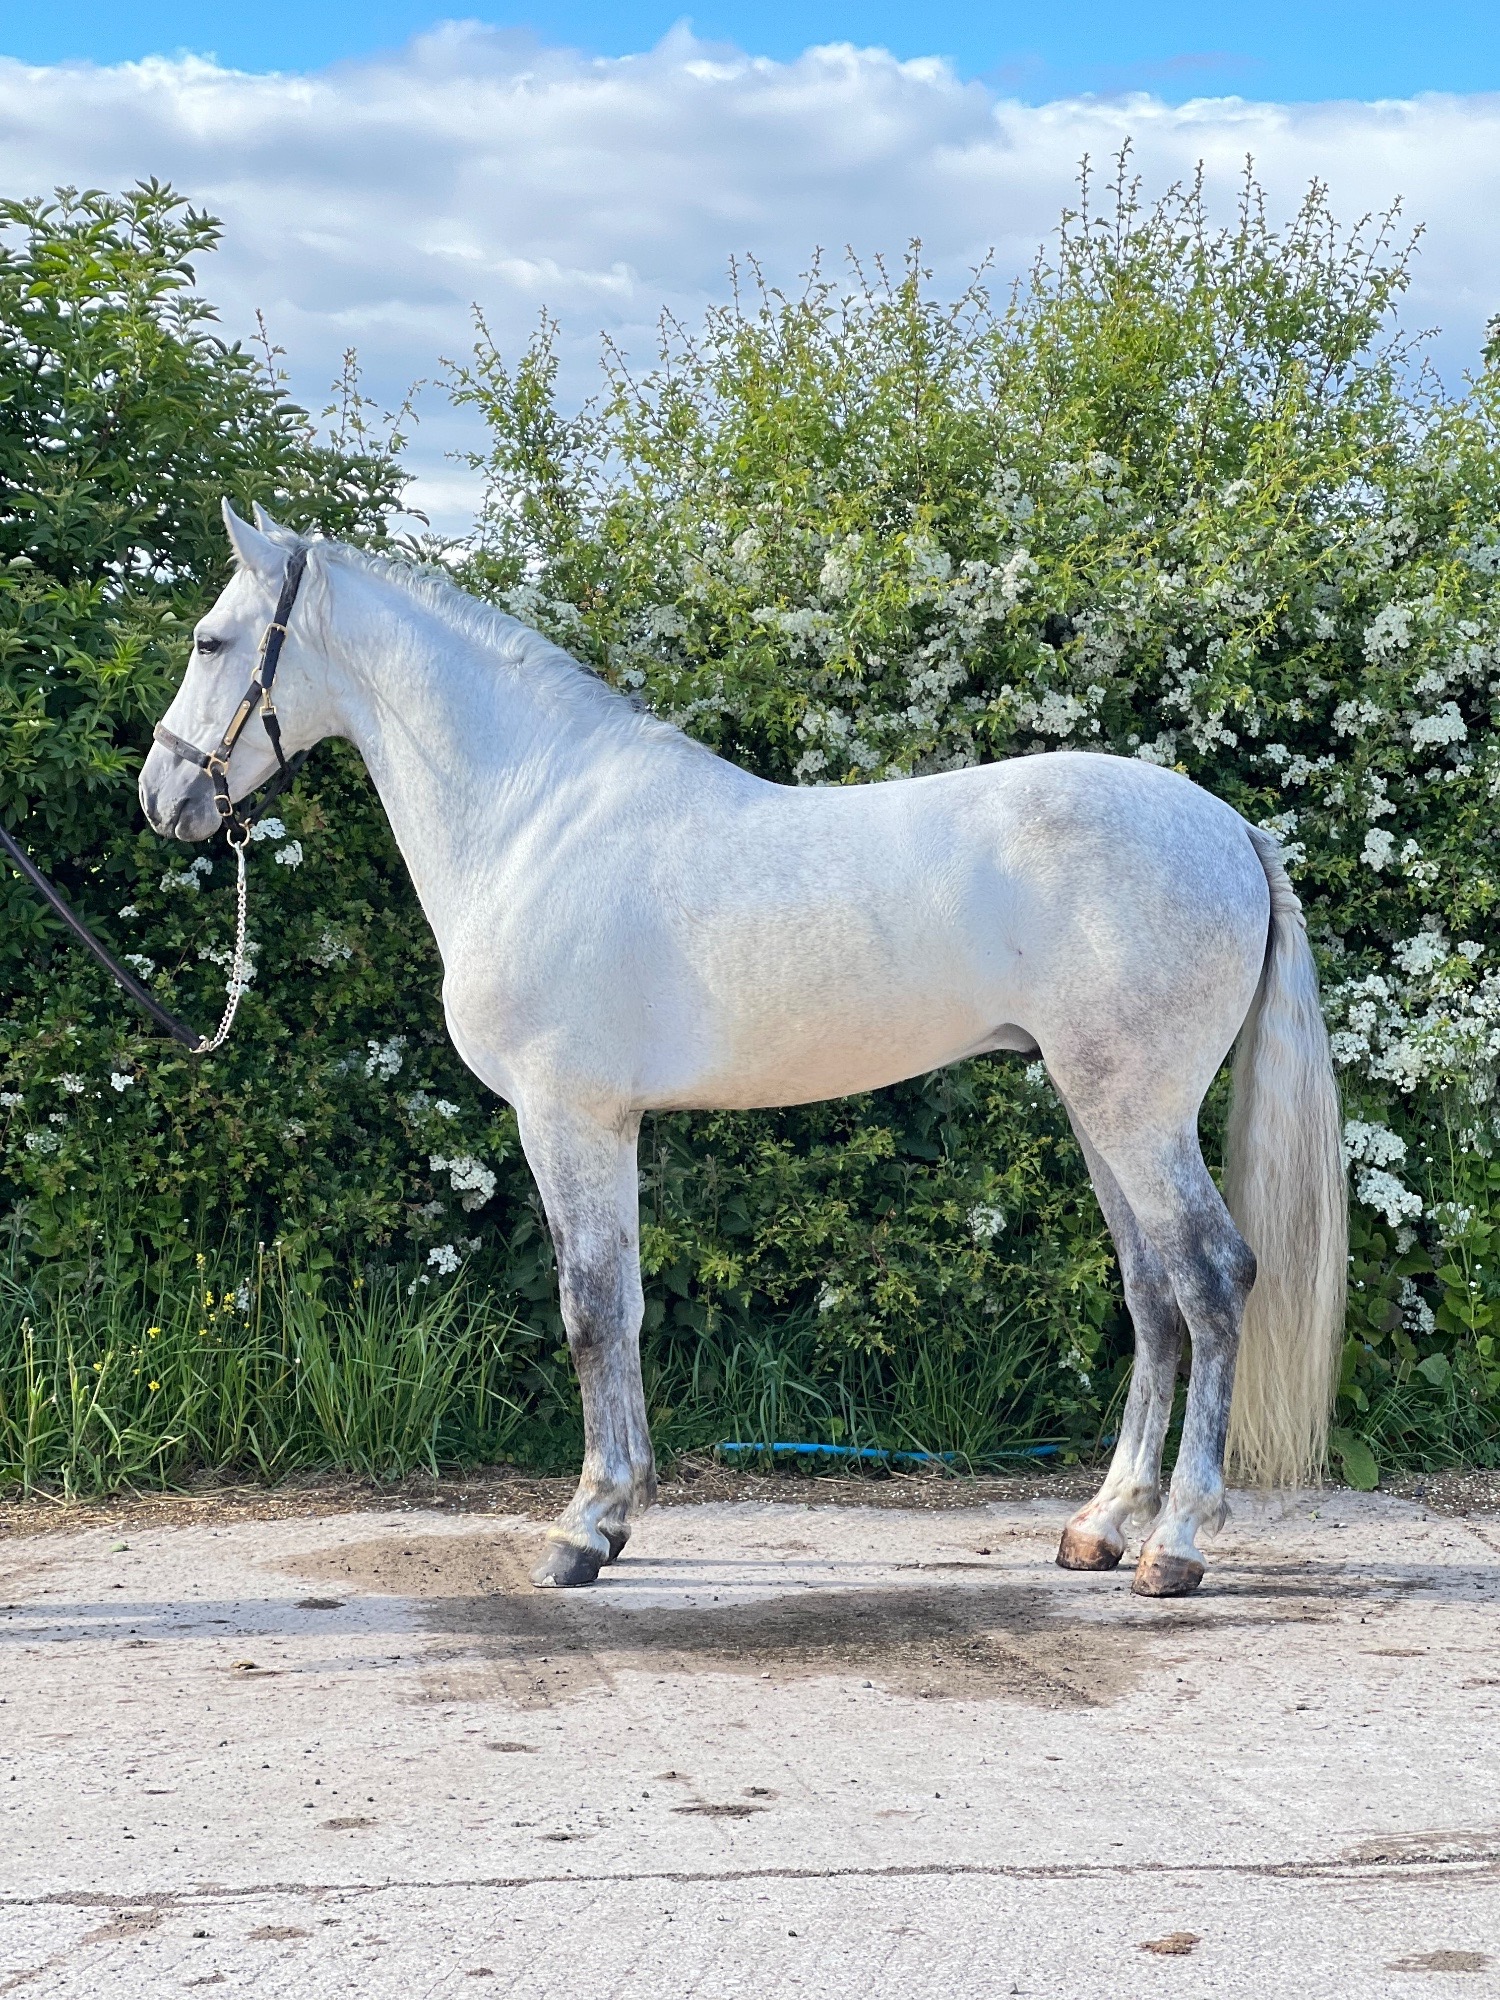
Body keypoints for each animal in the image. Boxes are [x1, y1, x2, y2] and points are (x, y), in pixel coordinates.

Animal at [140, 503, 1347, 1597]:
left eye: (209, 639)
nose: (162, 797)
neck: (535, 818)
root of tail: (1231, 831)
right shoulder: (607, 1121)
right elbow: (621, 1304)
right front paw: (620, 1513)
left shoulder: (565, 1114)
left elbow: (589, 1309)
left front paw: (583, 1529)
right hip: (1096, 1106)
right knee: (1153, 1294)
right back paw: (1099, 1526)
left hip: (1135, 1108)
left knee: (1212, 1280)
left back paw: (1176, 1544)